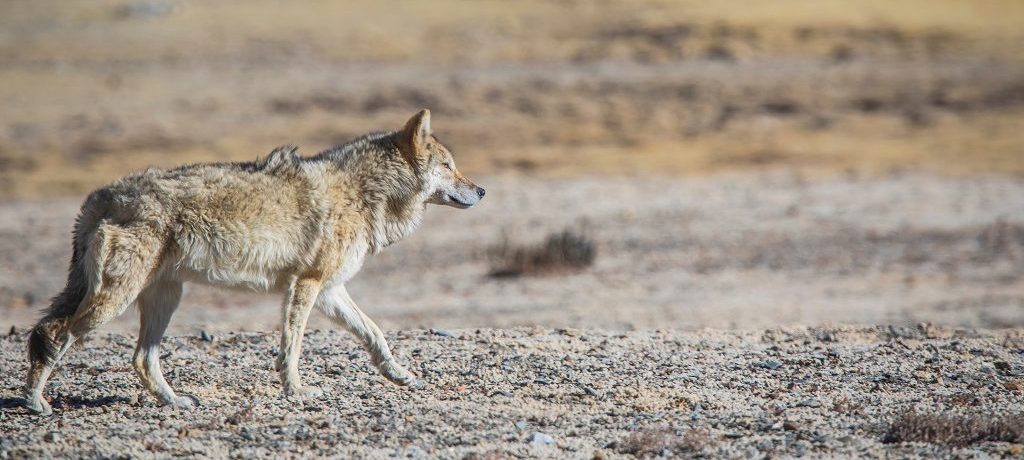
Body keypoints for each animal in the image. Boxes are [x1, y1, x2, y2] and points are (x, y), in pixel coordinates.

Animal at [22, 109, 485, 413]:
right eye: (449, 166)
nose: (481, 191)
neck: (364, 192)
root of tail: (99, 195)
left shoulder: (330, 289)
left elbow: (375, 334)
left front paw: (399, 375)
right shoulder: (307, 284)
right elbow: (292, 347)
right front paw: (297, 392)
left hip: (164, 298)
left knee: (140, 358)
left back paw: (177, 401)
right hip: (114, 302)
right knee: (55, 334)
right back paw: (34, 402)